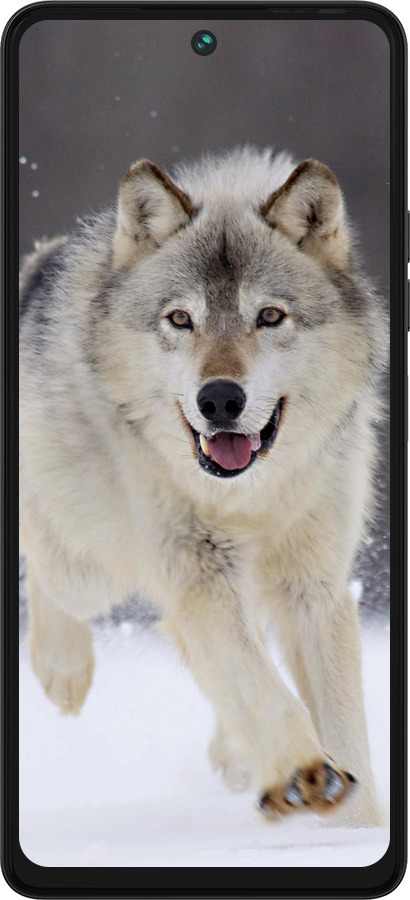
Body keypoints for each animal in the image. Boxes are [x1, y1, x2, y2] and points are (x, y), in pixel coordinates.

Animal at [19, 147, 386, 826]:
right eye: (180, 320)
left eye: (269, 316)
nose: (219, 399)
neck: (249, 497)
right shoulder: (198, 573)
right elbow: (261, 686)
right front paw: (303, 772)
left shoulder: (313, 586)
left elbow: (343, 724)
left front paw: (355, 826)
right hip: (93, 568)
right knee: (50, 575)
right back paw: (64, 670)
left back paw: (236, 756)